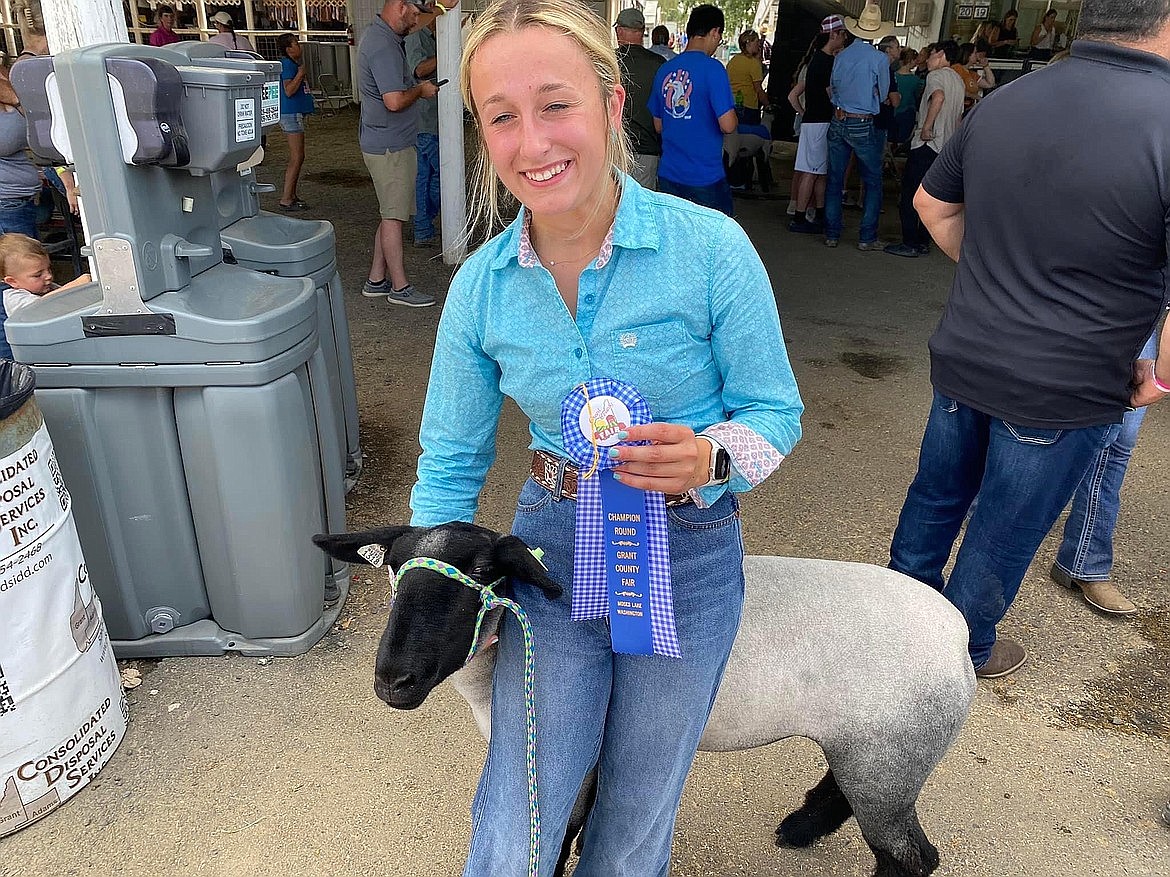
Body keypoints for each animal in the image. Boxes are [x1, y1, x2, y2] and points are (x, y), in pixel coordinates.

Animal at [313, 526, 978, 874]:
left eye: (481, 574)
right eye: (394, 570)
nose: (392, 681)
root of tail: (958, 636)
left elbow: (561, 835)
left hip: (889, 750)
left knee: (910, 856)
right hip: (868, 746)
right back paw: (799, 828)